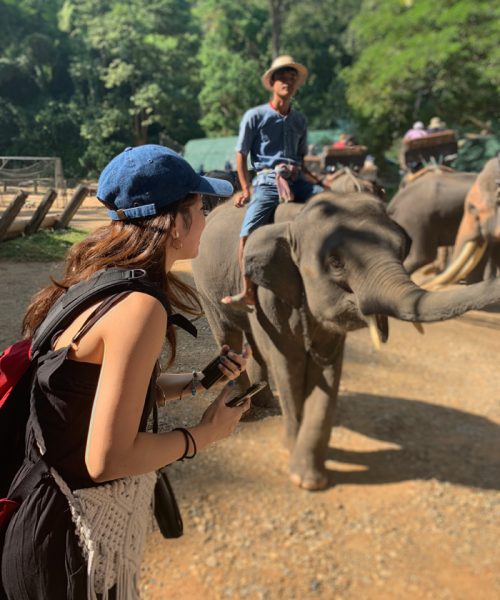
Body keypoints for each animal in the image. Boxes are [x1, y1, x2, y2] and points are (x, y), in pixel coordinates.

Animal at [191, 192, 500, 492]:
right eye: (336, 263)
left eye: (403, 248)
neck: (296, 221)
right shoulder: (270, 296)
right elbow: (290, 364)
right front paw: (293, 454)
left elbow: (326, 370)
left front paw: (310, 479)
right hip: (206, 287)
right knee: (228, 335)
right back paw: (244, 410)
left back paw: (262, 401)